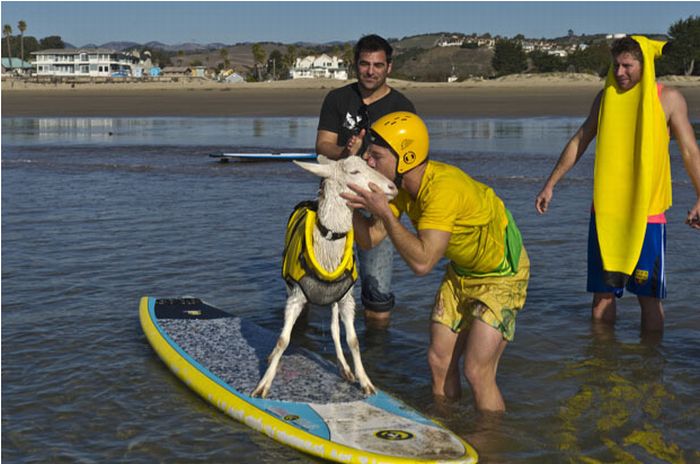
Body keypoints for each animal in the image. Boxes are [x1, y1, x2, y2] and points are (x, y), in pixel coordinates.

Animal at [252, 156, 396, 398]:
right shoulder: (296, 297)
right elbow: (283, 339)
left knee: (334, 330)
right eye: (354, 172)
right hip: (290, 286)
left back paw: (345, 369)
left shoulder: (347, 299)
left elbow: (353, 340)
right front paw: (263, 384)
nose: (393, 187)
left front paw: (365, 381)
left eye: (370, 164)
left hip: (336, 297)